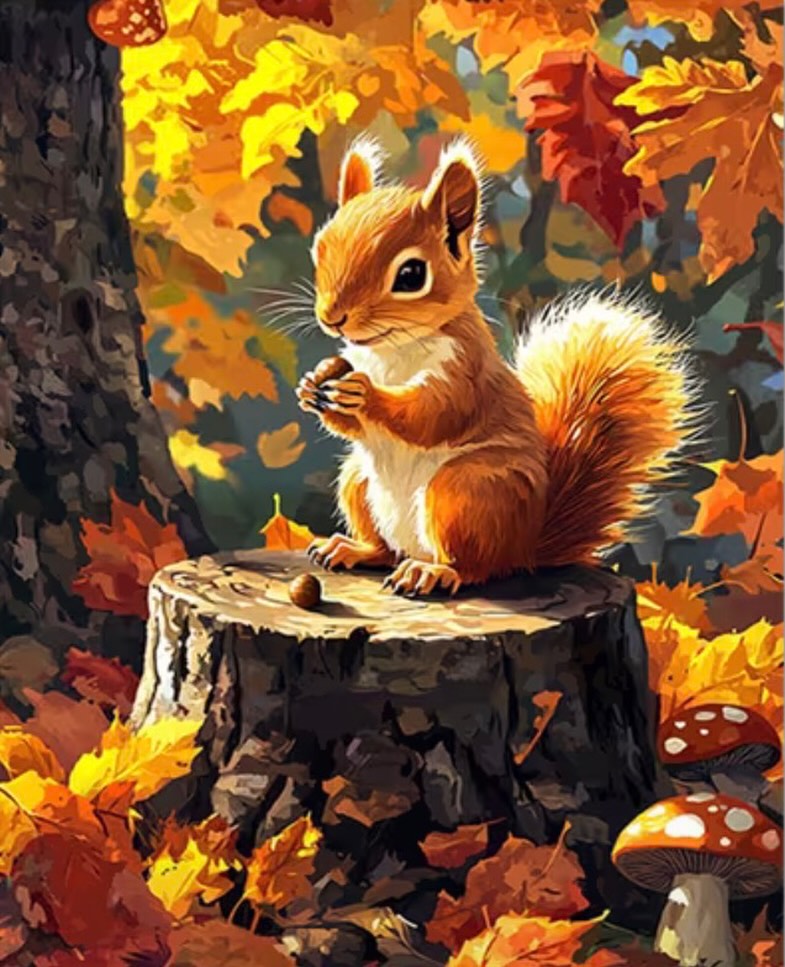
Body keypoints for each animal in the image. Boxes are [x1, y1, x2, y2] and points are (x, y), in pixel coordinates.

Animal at [296, 136, 696, 597]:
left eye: (411, 274)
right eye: (320, 248)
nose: (332, 317)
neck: (388, 351)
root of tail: (525, 548)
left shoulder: (465, 371)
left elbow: (433, 415)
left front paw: (365, 395)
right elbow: (351, 421)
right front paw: (314, 383)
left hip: (467, 493)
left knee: (472, 567)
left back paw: (432, 572)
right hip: (358, 479)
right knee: (384, 547)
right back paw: (352, 549)